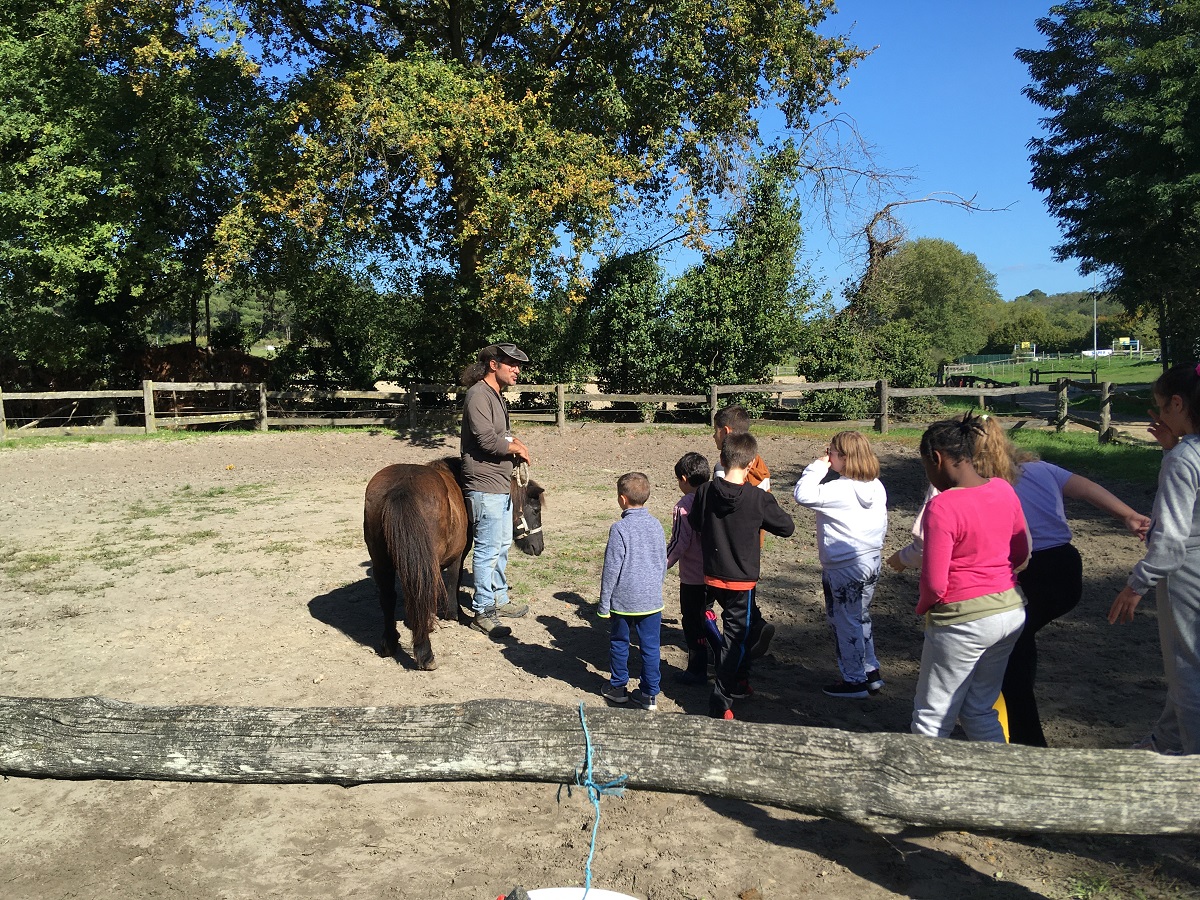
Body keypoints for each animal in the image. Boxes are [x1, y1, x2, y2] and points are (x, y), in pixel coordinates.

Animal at [362, 458, 547, 672]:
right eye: (536, 510)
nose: (539, 547)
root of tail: (401, 488)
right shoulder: (458, 555)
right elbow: (453, 581)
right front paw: (454, 612)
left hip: (381, 562)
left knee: (388, 598)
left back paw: (390, 643)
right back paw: (425, 653)